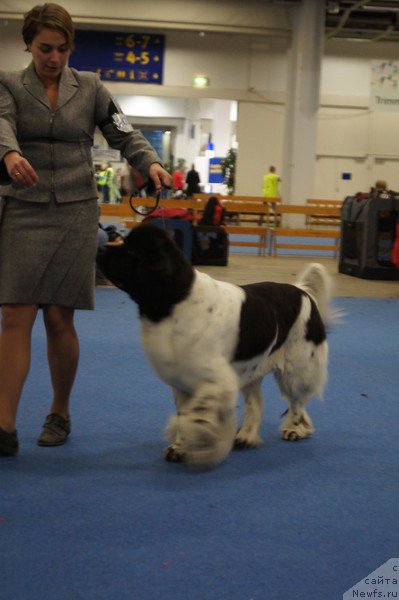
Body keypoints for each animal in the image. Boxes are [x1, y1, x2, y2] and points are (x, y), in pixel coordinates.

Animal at [97, 223, 334, 472]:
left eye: (131, 250)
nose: (101, 250)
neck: (177, 301)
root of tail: (303, 291)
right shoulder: (182, 382)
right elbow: (185, 412)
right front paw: (180, 446)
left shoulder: (219, 380)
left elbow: (196, 412)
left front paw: (198, 435)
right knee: (258, 402)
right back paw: (248, 436)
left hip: (297, 369)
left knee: (297, 401)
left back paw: (294, 429)